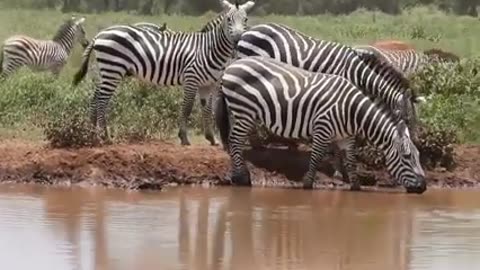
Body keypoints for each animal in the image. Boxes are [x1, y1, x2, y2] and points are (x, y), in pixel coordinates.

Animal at [72, 0, 255, 146]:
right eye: (229, 19)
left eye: (245, 19)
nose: (238, 40)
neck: (208, 48)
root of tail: (100, 34)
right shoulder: (191, 78)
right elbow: (187, 108)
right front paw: (184, 138)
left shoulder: (209, 84)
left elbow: (207, 109)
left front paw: (211, 138)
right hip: (113, 70)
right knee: (102, 101)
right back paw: (105, 137)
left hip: (107, 70)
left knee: (95, 98)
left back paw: (92, 133)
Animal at [216, 56, 426, 194]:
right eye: (407, 157)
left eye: (418, 156)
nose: (423, 187)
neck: (352, 111)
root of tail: (232, 64)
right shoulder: (322, 128)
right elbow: (316, 157)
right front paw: (308, 184)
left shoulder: (346, 137)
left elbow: (351, 161)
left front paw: (355, 186)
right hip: (244, 110)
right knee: (235, 140)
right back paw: (243, 178)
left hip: (243, 112)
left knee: (234, 140)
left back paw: (237, 175)